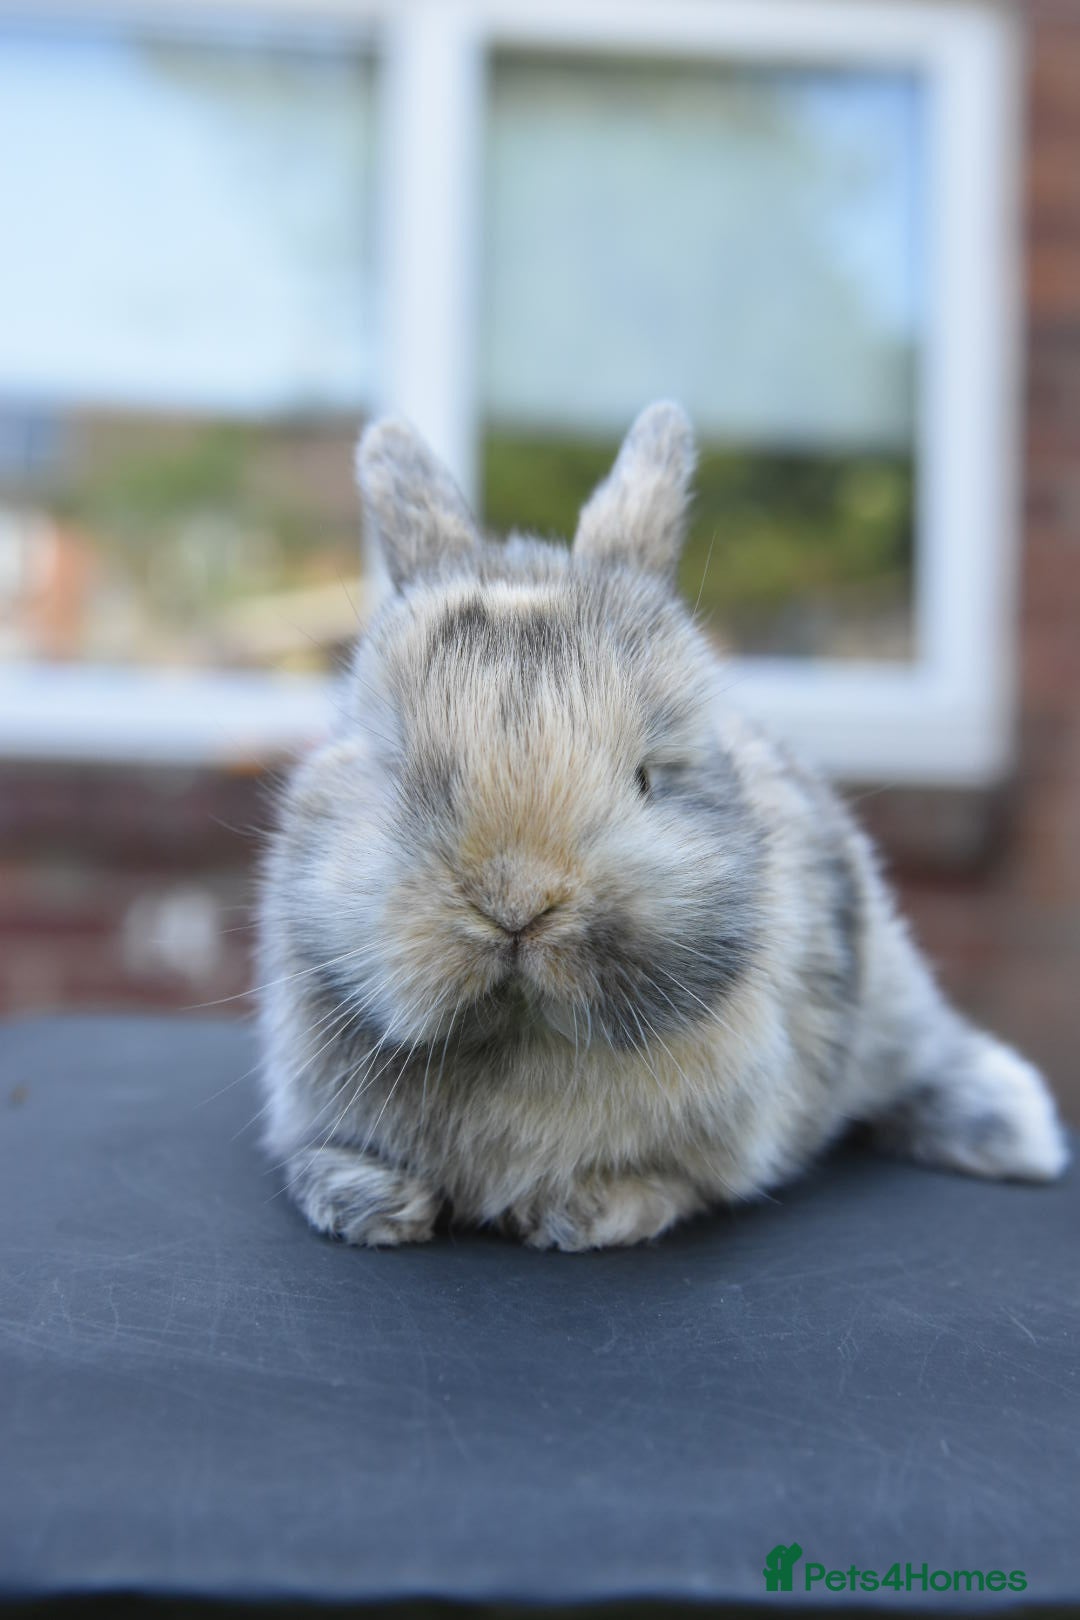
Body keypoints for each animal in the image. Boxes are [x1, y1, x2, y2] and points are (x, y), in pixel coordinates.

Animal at [256, 402, 1068, 1251]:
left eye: (648, 776)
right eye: (391, 769)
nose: (517, 905)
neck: (521, 1032)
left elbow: (669, 1185)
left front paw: (579, 1211)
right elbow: (320, 1159)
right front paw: (374, 1205)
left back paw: (1018, 1134)